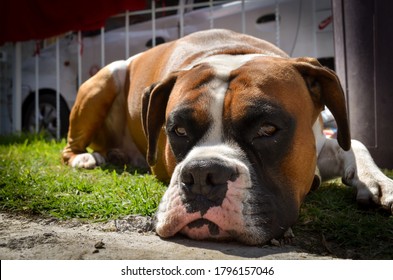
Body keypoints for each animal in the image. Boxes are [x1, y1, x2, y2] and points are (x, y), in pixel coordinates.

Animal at [62, 29, 392, 245]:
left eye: (267, 129)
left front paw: (376, 181)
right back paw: (86, 158)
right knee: (69, 146)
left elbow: (353, 144)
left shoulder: (318, 144)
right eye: (178, 130)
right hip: (107, 77)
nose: (202, 175)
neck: (234, 52)